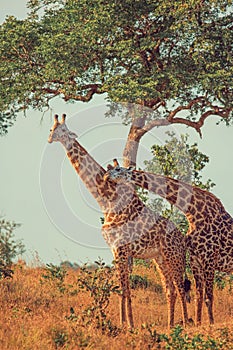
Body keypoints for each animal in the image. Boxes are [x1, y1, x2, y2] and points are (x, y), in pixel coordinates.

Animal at [48, 114, 190, 328]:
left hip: (173, 256)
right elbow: (120, 286)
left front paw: (130, 324)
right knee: (170, 289)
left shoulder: (123, 248)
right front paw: (123, 322)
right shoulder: (114, 249)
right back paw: (170, 325)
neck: (107, 201)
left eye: (63, 130)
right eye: (52, 127)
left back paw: (189, 323)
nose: (50, 138)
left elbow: (126, 287)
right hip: (160, 258)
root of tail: (182, 238)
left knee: (180, 287)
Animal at [104, 161, 233, 326]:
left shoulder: (209, 258)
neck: (194, 212)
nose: (106, 176)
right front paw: (198, 324)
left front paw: (210, 324)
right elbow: (199, 297)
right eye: (109, 169)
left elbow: (208, 297)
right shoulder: (196, 260)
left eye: (118, 169)